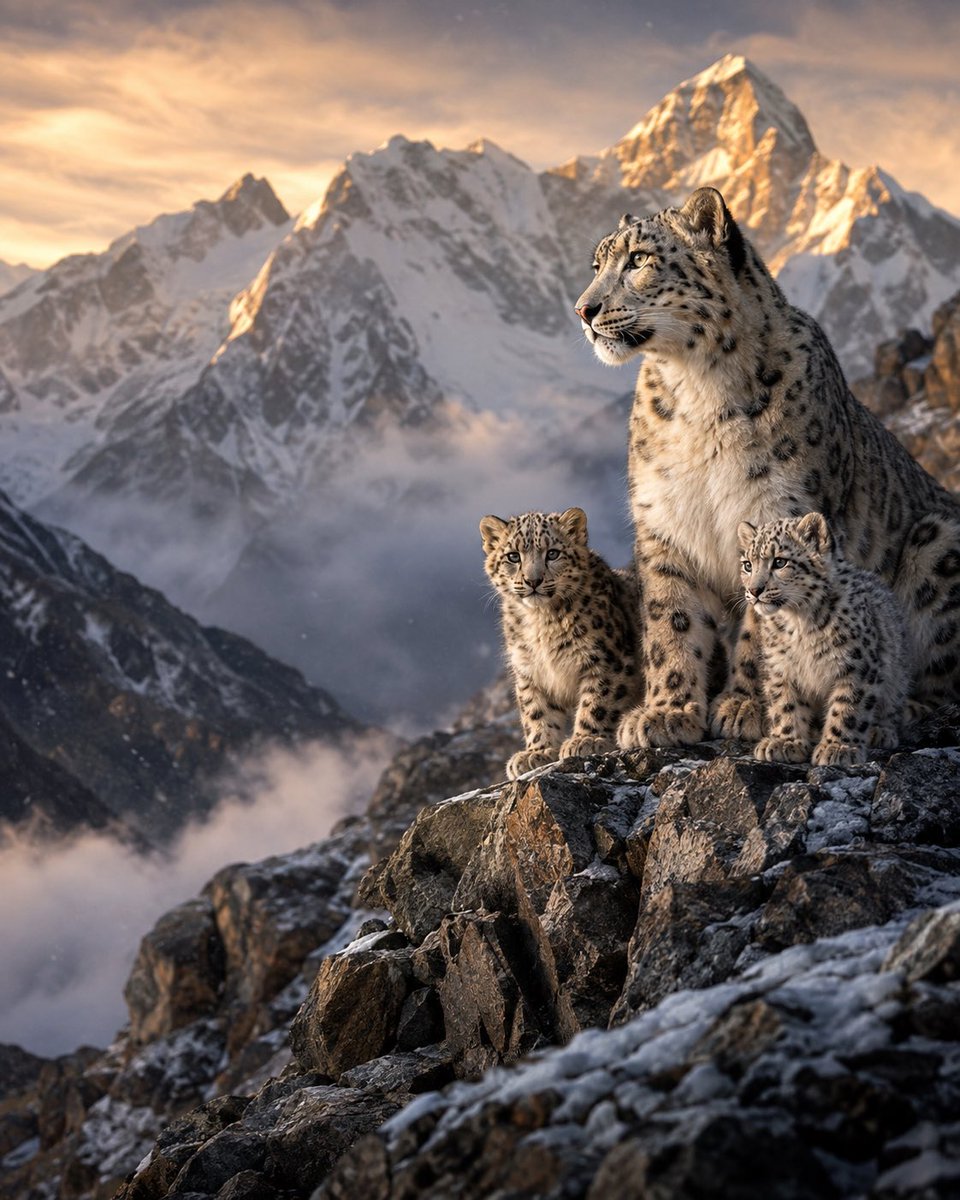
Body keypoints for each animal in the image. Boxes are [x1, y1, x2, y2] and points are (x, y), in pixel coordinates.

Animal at [480, 507, 642, 779]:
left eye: (553, 553)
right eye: (513, 556)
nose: (533, 580)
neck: (541, 622)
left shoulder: (606, 660)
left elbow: (598, 700)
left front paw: (586, 740)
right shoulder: (529, 671)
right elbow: (536, 712)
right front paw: (538, 752)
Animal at [739, 512, 909, 766]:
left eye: (779, 562)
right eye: (748, 565)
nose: (754, 590)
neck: (798, 622)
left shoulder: (856, 665)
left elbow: (847, 707)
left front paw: (837, 748)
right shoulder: (781, 667)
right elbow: (785, 704)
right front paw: (785, 742)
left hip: (896, 675)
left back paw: (880, 731)